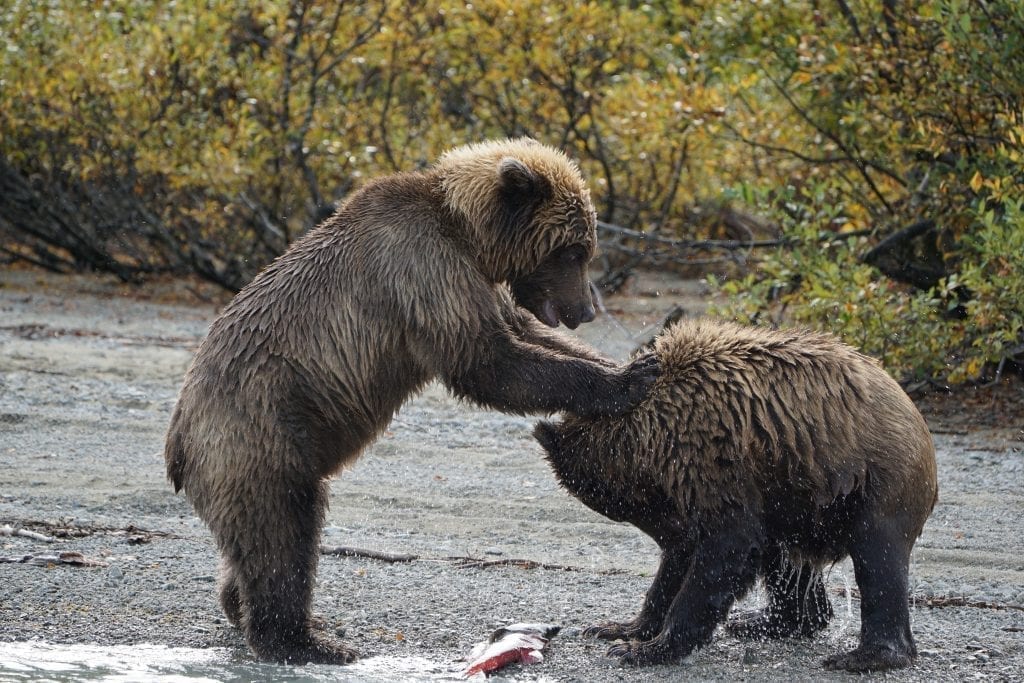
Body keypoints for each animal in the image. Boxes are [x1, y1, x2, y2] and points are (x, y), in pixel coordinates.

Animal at [159, 140, 655, 667]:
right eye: (574, 250)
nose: (585, 311)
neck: (468, 235)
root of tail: (177, 445)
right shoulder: (423, 270)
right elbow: (489, 363)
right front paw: (628, 379)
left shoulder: (476, 284)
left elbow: (522, 334)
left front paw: (633, 360)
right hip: (259, 437)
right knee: (283, 536)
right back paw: (308, 640)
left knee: (254, 545)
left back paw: (254, 610)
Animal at [532, 319, 937, 671]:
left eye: (622, 505)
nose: (670, 533)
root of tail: (915, 415)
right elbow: (687, 561)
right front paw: (622, 628)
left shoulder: (712, 458)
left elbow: (726, 546)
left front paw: (647, 648)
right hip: (792, 494)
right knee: (783, 552)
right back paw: (763, 621)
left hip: (876, 481)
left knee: (877, 558)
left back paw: (868, 655)